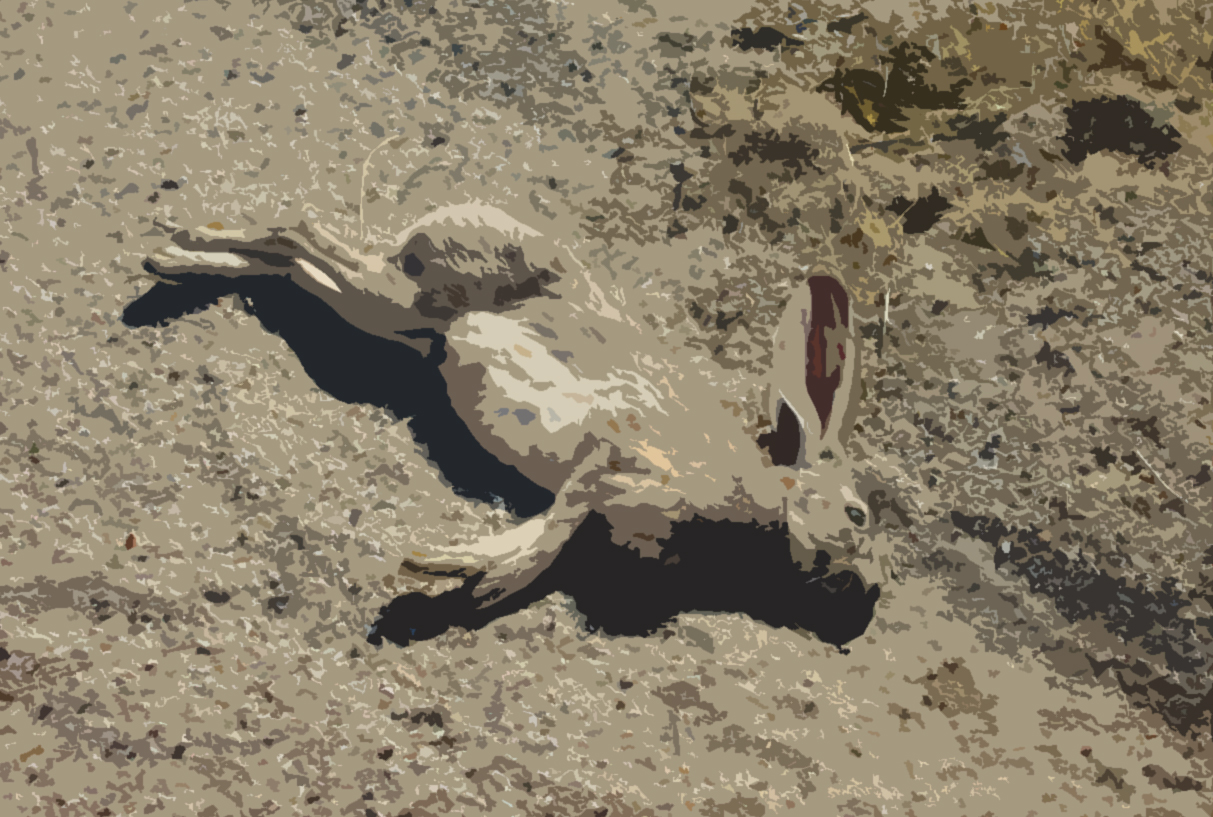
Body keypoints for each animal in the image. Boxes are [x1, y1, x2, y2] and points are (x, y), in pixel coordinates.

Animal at [140, 201, 876, 644]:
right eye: (860, 514)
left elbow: (555, 536)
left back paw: (177, 257)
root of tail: (453, 217)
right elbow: (550, 534)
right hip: (402, 299)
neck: (761, 494)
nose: (867, 594)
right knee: (301, 234)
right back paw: (173, 256)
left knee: (295, 262)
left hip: (396, 320)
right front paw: (457, 571)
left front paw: (462, 574)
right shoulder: (617, 460)